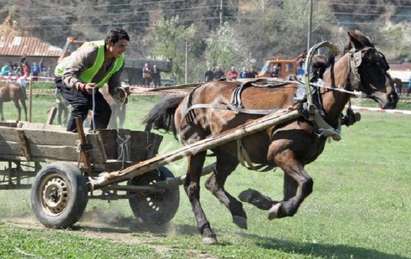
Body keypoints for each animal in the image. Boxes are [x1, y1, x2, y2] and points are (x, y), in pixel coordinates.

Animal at [145, 31, 400, 245]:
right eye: (371, 64)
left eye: (385, 64)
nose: (393, 96)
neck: (310, 103)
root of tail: (187, 96)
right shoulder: (280, 153)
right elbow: (307, 184)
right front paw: (275, 207)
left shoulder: (295, 159)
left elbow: (294, 191)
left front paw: (261, 200)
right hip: (196, 148)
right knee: (192, 185)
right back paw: (207, 230)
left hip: (228, 152)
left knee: (213, 182)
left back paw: (238, 210)